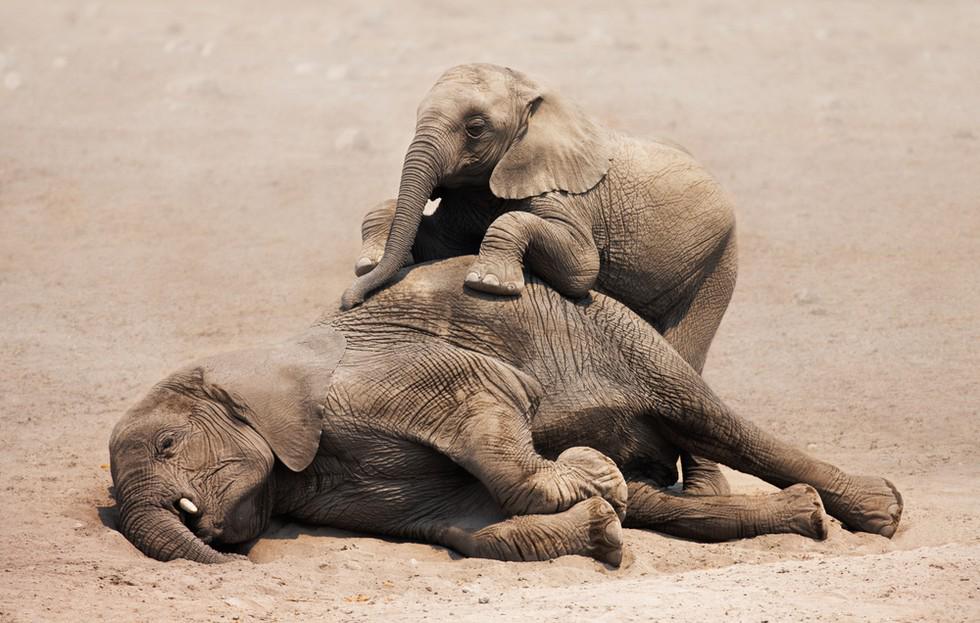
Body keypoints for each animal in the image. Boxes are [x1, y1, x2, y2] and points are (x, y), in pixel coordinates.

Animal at [110, 257, 902, 565]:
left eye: (170, 445)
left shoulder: (398, 371)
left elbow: (492, 398)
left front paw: (588, 476)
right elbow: (463, 525)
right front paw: (601, 519)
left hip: (623, 334)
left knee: (716, 423)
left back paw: (877, 511)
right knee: (664, 497)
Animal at [340, 63, 738, 494]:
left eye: (475, 128)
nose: (349, 300)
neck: (533, 100)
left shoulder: (565, 193)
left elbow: (580, 267)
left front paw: (489, 284)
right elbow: (432, 239)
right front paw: (370, 262)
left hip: (717, 262)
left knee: (687, 358)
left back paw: (704, 493)